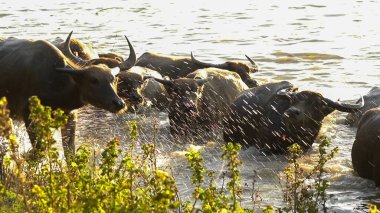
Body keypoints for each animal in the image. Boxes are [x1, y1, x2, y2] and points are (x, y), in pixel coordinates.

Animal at [0, 34, 135, 159]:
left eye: (114, 79)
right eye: (93, 80)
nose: (119, 103)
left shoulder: (70, 115)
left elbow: (69, 152)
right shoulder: (28, 115)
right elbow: (40, 150)